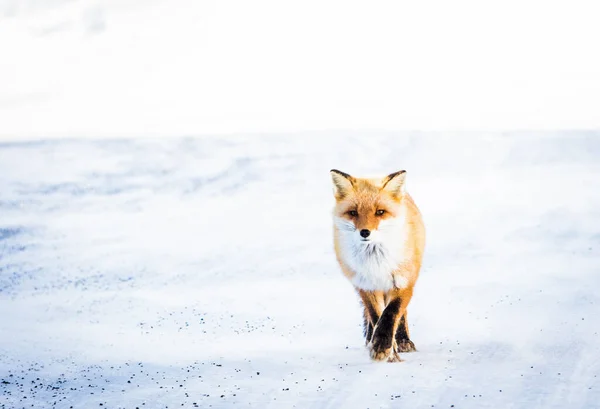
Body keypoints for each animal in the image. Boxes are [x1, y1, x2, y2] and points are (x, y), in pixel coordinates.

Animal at [328, 168, 426, 360]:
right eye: (353, 213)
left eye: (380, 212)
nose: (365, 232)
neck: (376, 262)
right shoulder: (365, 285)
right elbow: (376, 315)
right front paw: (385, 348)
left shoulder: (404, 282)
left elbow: (391, 313)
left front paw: (383, 345)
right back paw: (371, 339)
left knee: (401, 314)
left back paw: (403, 340)